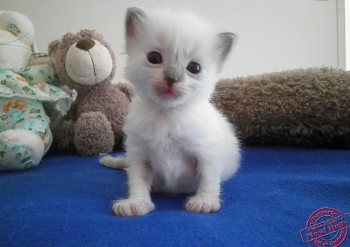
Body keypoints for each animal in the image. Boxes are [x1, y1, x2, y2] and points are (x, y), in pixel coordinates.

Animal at [100, 7, 239, 216]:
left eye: (194, 68)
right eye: (154, 58)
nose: (172, 78)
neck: (166, 114)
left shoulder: (208, 154)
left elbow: (209, 179)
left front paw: (204, 202)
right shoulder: (139, 157)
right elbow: (137, 181)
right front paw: (136, 204)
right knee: (126, 163)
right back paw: (110, 161)